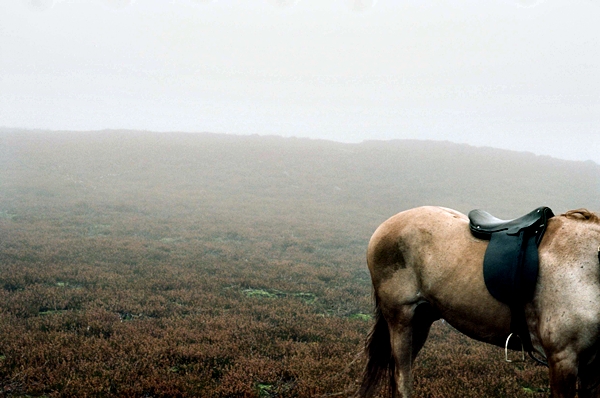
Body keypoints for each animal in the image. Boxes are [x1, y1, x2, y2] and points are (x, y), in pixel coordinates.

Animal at [356, 207, 600, 396]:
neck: (587, 268)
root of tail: (386, 225)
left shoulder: (591, 366)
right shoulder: (563, 360)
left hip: (421, 321)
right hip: (401, 320)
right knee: (402, 380)